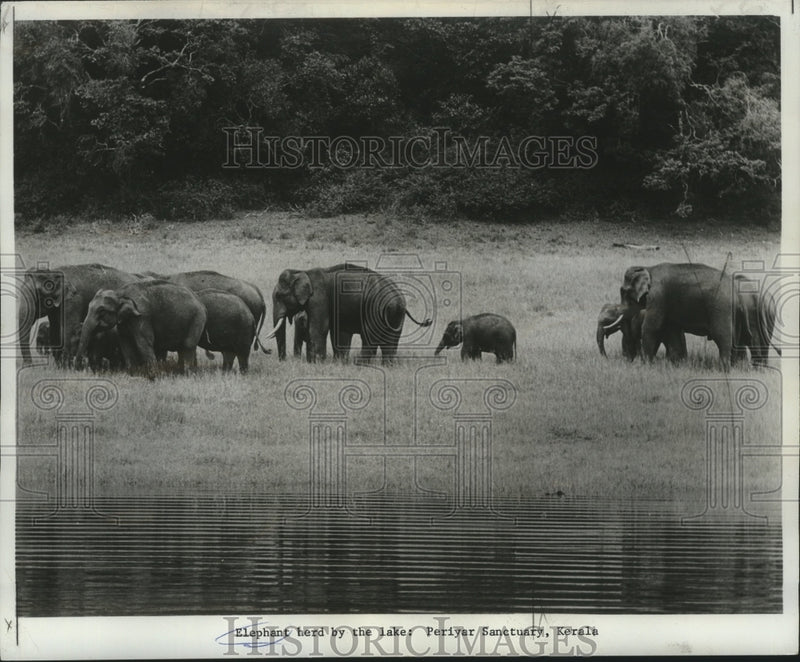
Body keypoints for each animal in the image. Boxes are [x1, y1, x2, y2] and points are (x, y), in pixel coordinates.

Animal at [76, 280, 207, 378]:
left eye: (101, 311)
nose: (80, 367)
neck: (120, 293)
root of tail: (201, 303)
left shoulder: (142, 316)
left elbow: (143, 343)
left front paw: (154, 377)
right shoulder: (124, 321)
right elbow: (125, 343)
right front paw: (132, 375)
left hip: (197, 319)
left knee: (188, 346)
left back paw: (188, 375)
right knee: (184, 349)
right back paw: (185, 374)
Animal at [267, 263, 432, 363]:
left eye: (279, 296)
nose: (283, 360)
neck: (302, 272)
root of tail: (398, 298)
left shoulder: (319, 298)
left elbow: (319, 329)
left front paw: (317, 363)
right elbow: (339, 332)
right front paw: (338, 363)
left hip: (375, 309)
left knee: (370, 336)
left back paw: (361, 364)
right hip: (396, 315)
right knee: (390, 340)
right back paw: (387, 365)